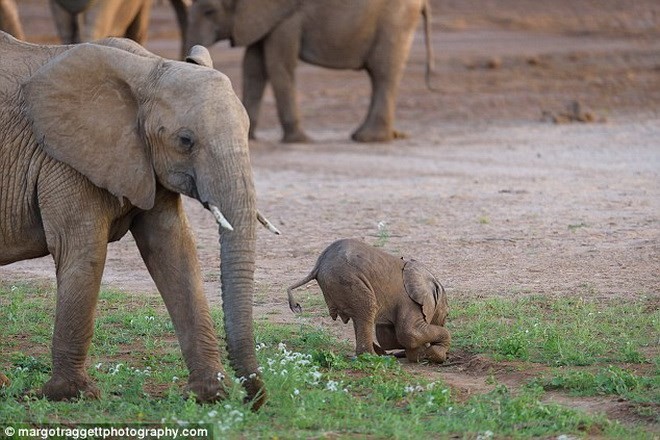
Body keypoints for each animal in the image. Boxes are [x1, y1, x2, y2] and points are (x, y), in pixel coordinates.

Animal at [0, 32, 276, 410]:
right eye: (185, 141)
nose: (252, 400)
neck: (147, 69)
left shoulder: (144, 161)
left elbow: (175, 251)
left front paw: (209, 396)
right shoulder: (63, 160)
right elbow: (84, 252)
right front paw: (68, 395)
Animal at [186, 0, 436, 143]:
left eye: (209, 11)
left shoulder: (286, 19)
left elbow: (278, 65)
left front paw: (298, 141)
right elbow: (254, 67)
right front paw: (249, 137)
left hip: (396, 21)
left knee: (382, 73)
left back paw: (369, 139)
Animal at [286, 239, 452, 362]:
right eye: (447, 314)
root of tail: (317, 266)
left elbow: (389, 337)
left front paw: (419, 354)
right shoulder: (410, 302)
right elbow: (409, 334)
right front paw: (434, 355)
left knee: (359, 318)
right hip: (348, 280)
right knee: (366, 311)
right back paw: (374, 358)